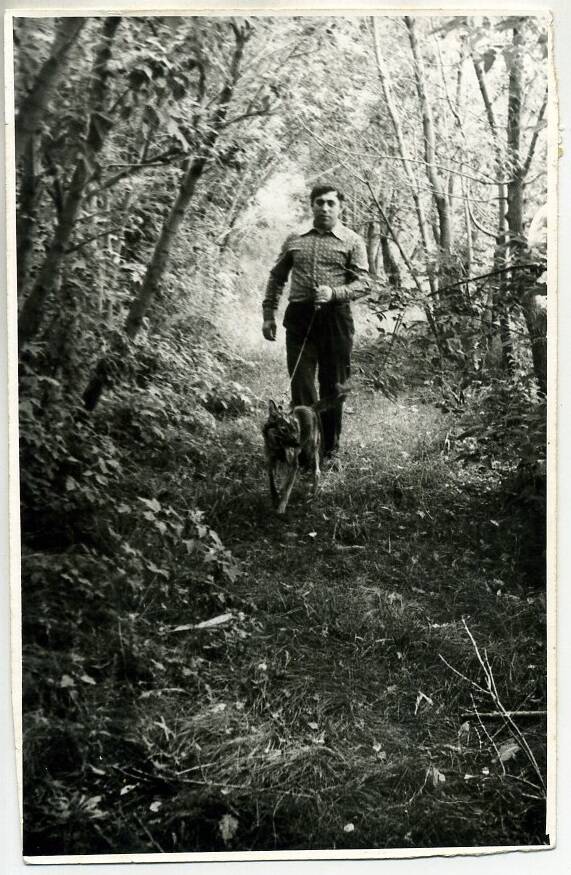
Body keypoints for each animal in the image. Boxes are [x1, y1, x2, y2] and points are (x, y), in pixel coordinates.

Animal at [264, 384, 348, 512]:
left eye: (295, 429)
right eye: (283, 430)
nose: (298, 442)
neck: (278, 448)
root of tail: (311, 408)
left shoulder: (293, 464)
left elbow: (287, 488)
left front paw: (281, 507)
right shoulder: (272, 462)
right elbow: (272, 481)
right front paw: (275, 498)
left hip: (311, 451)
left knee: (317, 472)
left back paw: (313, 493)